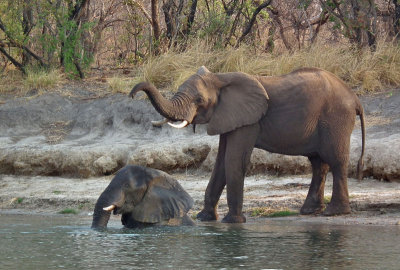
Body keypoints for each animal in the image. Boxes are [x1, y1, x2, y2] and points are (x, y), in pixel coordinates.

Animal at [130, 66, 364, 223]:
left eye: (199, 100)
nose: (132, 94)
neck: (220, 77)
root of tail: (355, 98)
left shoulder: (249, 121)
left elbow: (234, 160)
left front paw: (233, 222)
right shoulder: (228, 117)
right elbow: (221, 163)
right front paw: (205, 218)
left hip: (336, 118)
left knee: (336, 160)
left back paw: (335, 212)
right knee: (318, 163)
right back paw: (309, 211)